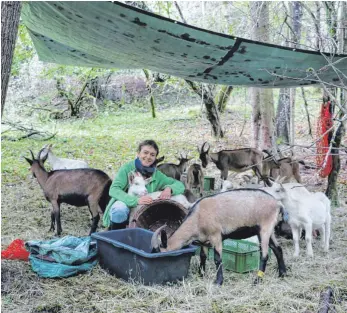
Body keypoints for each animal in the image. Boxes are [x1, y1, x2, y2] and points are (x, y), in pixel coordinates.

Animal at [152, 188, 288, 286]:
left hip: (265, 228)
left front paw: (218, 282)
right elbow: (203, 256)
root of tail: (278, 204)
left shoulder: (216, 236)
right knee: (277, 249)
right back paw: (282, 274)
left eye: (161, 252)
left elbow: (217, 259)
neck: (197, 217)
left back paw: (257, 280)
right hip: (269, 230)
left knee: (264, 255)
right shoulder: (203, 241)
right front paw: (201, 275)